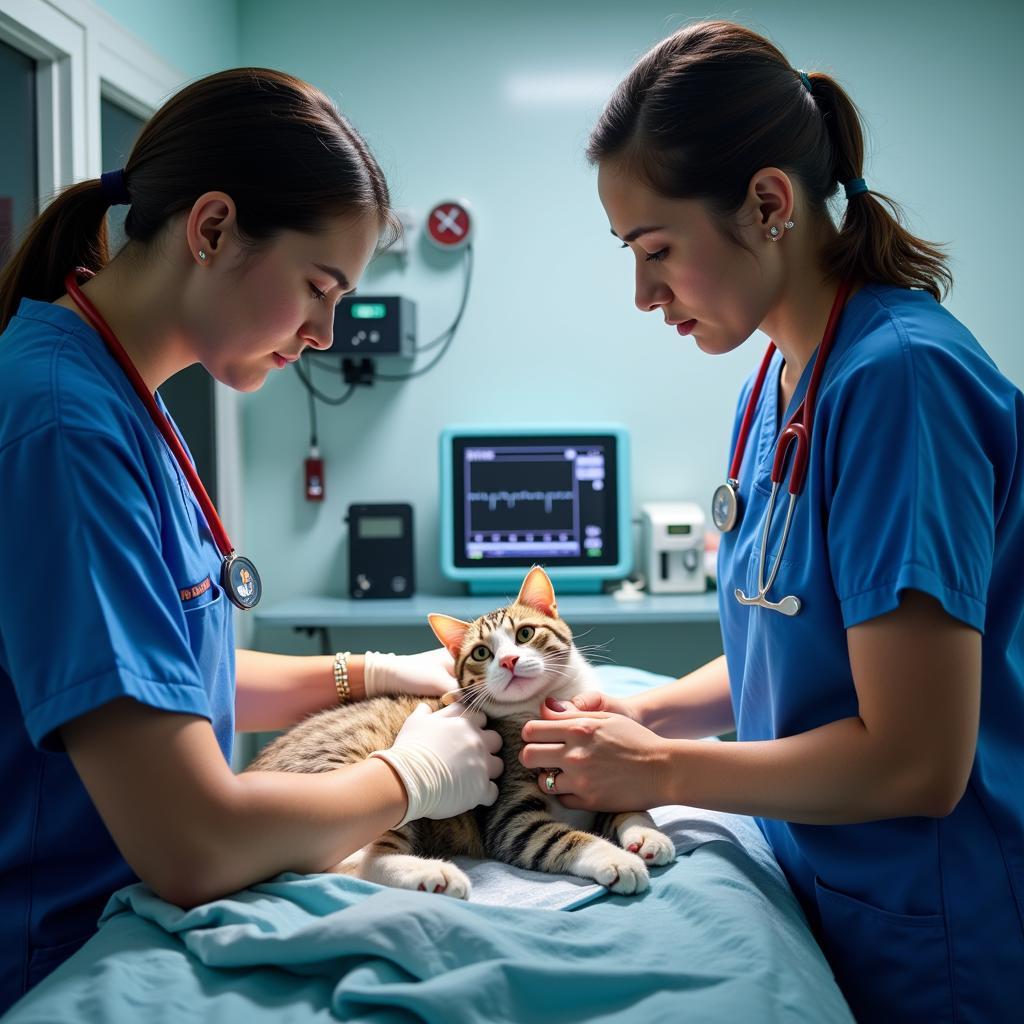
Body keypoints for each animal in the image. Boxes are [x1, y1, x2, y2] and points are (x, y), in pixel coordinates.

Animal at [247, 565, 675, 901]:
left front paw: (646, 834)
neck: (541, 708)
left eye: (525, 634)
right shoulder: (510, 820)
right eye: (481, 653)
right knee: (354, 864)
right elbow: (561, 838)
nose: (509, 660)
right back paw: (433, 874)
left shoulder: (596, 776)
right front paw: (616, 858)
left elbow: (626, 799)